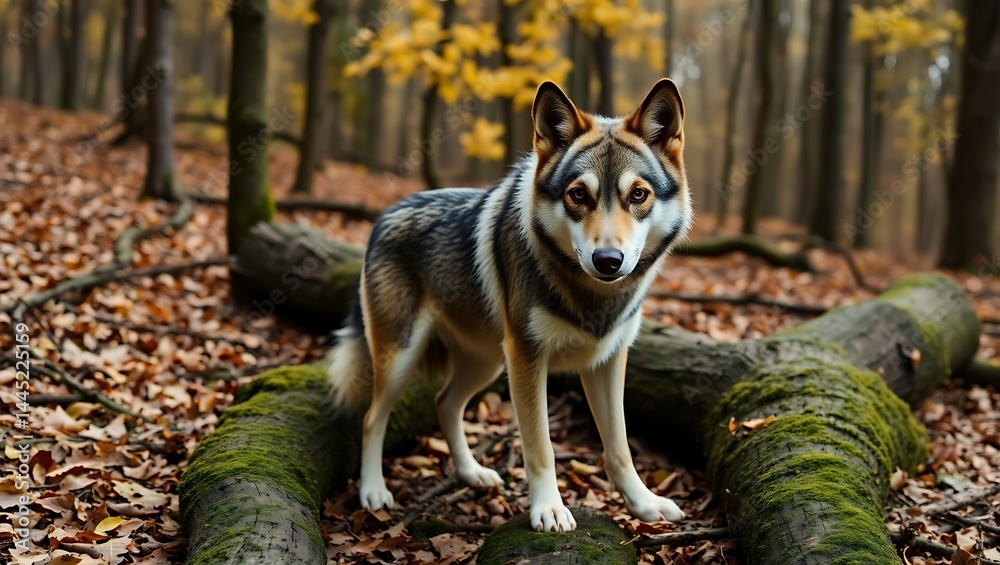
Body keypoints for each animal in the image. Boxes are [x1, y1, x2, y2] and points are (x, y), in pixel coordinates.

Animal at [327, 79, 692, 532]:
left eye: (638, 194)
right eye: (578, 195)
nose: (608, 260)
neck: (593, 297)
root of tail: (383, 216)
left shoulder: (608, 360)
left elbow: (620, 448)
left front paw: (644, 505)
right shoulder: (528, 360)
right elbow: (541, 447)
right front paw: (549, 509)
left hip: (486, 364)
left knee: (444, 402)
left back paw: (472, 474)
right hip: (405, 359)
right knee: (372, 419)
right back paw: (373, 491)